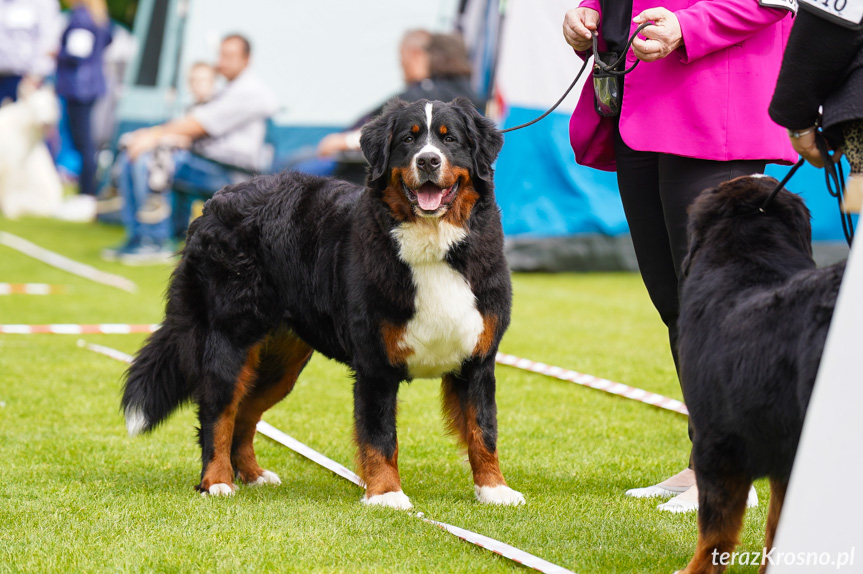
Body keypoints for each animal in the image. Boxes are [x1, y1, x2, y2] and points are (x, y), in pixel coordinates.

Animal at [120, 98, 528, 508]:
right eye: (408, 140)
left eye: (450, 139)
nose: (428, 160)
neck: (434, 247)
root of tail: (215, 201)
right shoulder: (376, 365)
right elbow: (381, 436)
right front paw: (387, 494)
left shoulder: (477, 359)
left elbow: (483, 430)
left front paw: (494, 489)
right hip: (230, 338)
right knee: (218, 411)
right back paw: (217, 480)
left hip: (280, 361)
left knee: (246, 414)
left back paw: (253, 474)